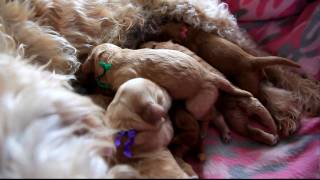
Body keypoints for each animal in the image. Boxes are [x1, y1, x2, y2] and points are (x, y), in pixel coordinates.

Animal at [160, 23, 300, 97]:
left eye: (163, 34)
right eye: (165, 21)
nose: (157, 30)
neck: (187, 31)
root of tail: (252, 60)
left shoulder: (192, 44)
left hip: (247, 82)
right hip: (260, 71)